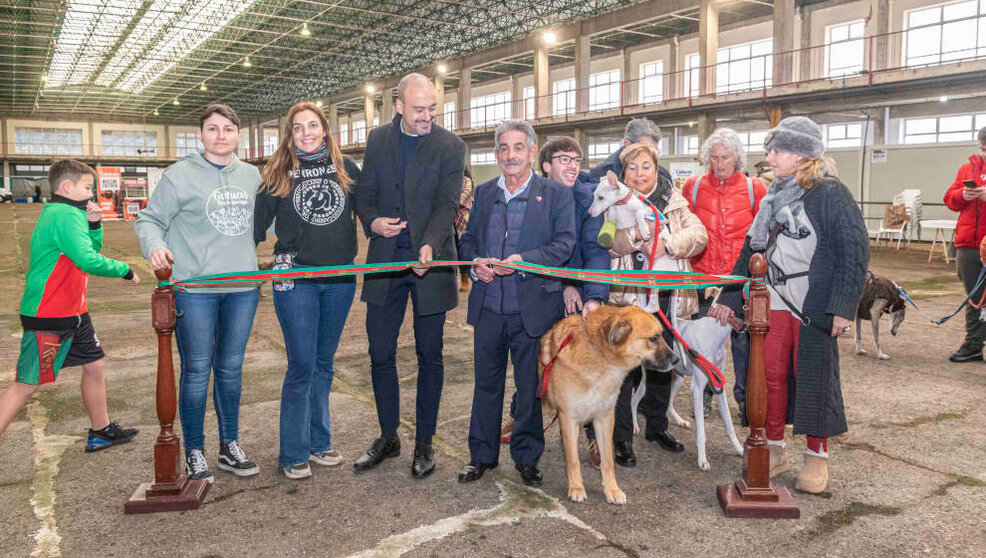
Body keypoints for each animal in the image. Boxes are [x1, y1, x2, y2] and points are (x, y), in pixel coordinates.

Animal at [540, 306, 676, 508]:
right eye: (653, 338)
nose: (676, 360)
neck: (600, 355)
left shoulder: (604, 418)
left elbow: (608, 461)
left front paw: (612, 490)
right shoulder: (569, 417)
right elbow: (573, 460)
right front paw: (576, 488)